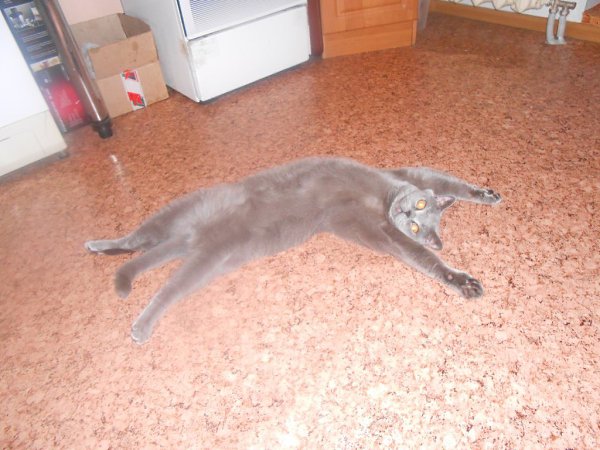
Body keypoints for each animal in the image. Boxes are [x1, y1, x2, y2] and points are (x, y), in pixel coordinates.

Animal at [85, 157, 502, 344]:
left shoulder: (388, 234)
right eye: (419, 207)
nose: (405, 212)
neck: (382, 202)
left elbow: (423, 255)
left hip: (207, 260)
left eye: (417, 225)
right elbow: (441, 179)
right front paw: (485, 194)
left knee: (164, 282)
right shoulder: (402, 176)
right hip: (184, 210)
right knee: (137, 240)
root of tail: (192, 236)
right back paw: (102, 248)